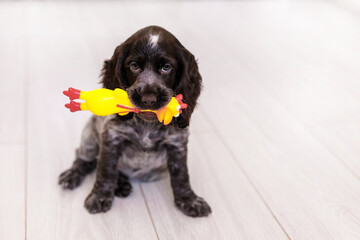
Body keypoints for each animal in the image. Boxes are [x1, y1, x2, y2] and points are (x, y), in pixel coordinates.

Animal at [58, 25, 211, 218]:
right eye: (134, 66)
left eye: (166, 67)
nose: (148, 99)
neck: (147, 126)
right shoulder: (111, 138)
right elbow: (106, 170)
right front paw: (99, 196)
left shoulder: (177, 144)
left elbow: (181, 175)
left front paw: (189, 200)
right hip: (89, 136)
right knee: (84, 158)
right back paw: (73, 175)